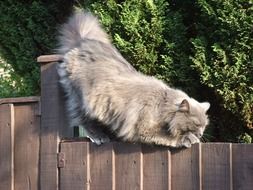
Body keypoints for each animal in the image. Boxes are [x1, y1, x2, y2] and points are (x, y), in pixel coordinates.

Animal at [57, 10, 210, 148]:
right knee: (84, 120)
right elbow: (168, 136)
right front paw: (189, 139)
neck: (164, 104)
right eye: (197, 124)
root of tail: (83, 42)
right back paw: (99, 137)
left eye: (204, 126)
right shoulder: (144, 127)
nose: (201, 134)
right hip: (83, 100)